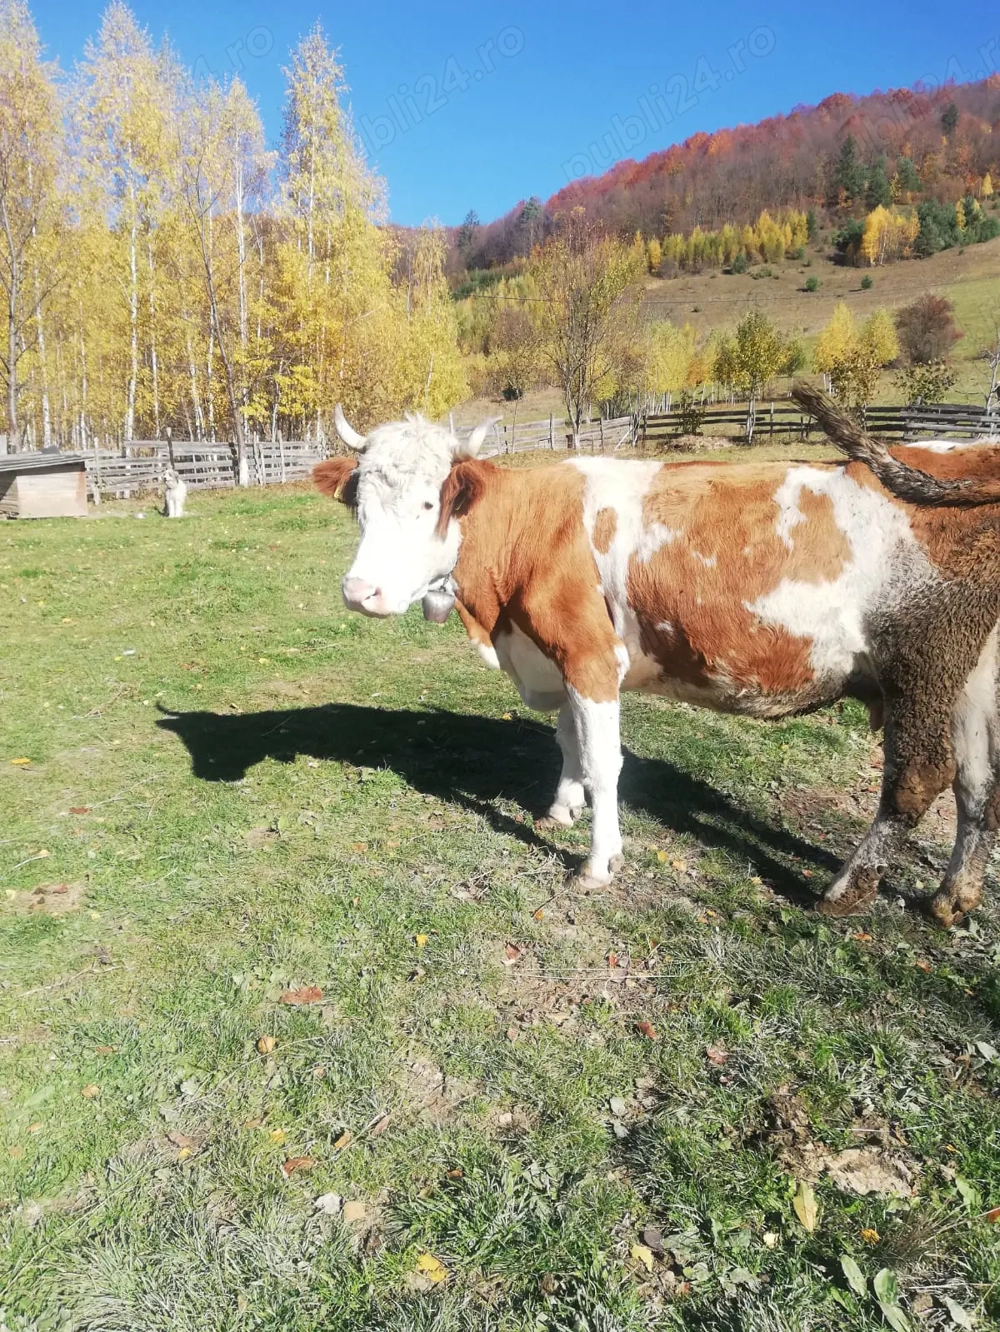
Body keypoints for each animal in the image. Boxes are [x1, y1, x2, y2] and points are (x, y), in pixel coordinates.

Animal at [314, 387, 1000, 928]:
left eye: (430, 504)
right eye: (359, 505)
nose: (359, 592)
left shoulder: (591, 655)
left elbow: (603, 761)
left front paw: (599, 861)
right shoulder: (562, 659)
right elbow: (568, 739)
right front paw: (561, 808)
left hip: (922, 662)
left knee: (919, 778)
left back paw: (844, 891)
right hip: (970, 677)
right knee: (977, 781)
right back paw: (951, 898)